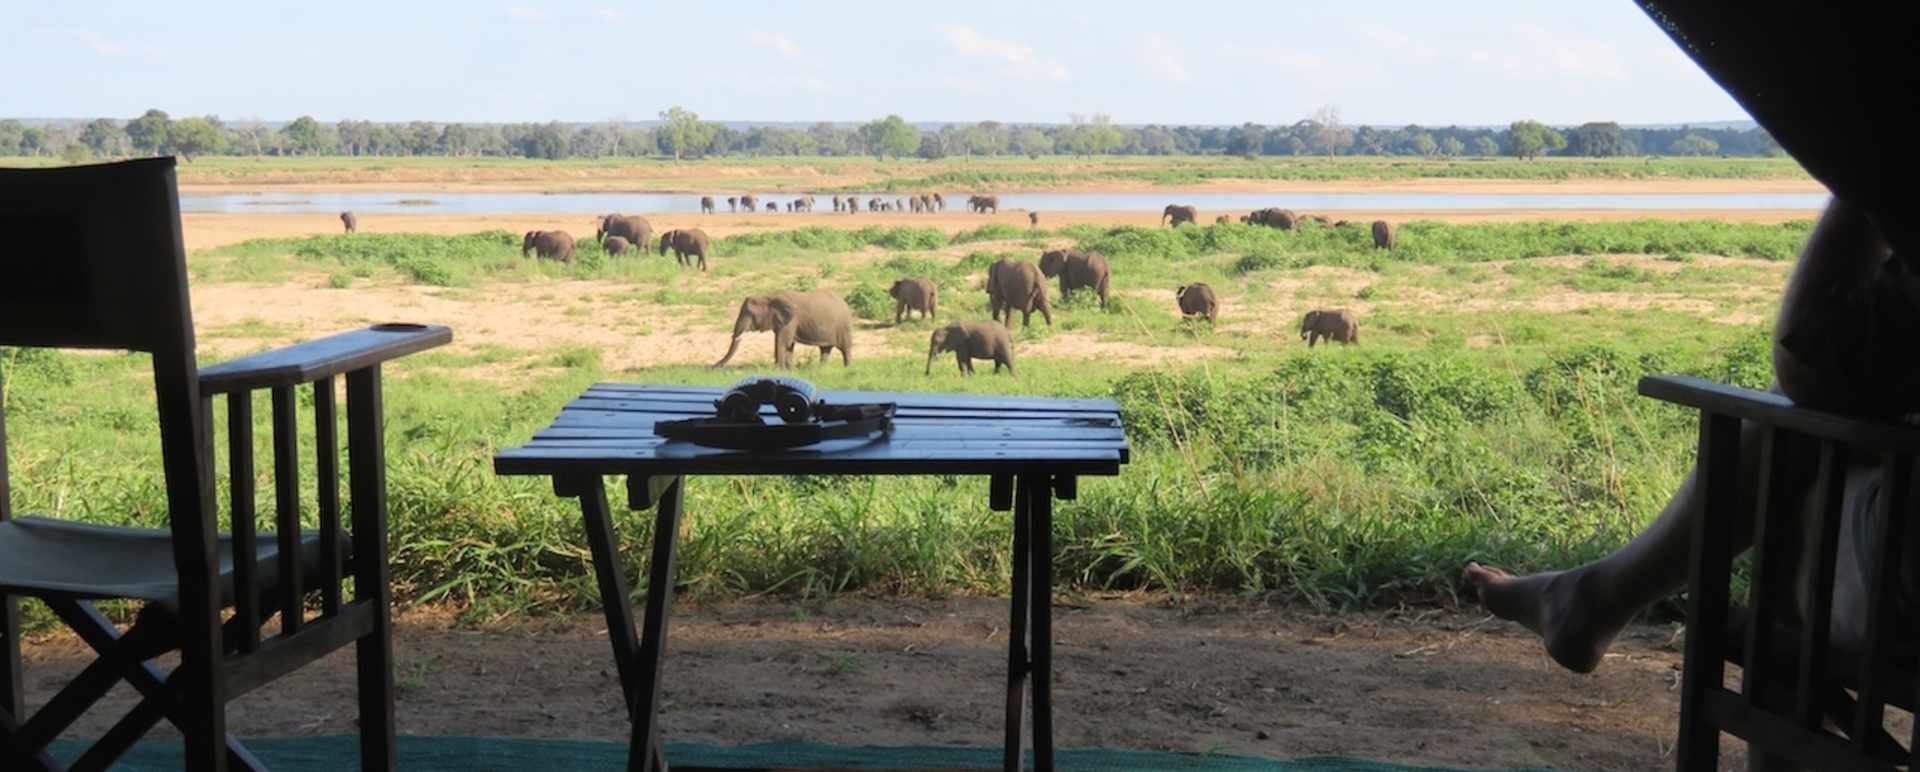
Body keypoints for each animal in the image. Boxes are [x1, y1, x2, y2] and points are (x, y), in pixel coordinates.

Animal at [712, 290, 854, 368]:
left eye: (749, 314)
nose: (712, 367)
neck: (768, 297)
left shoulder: (791, 320)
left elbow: (782, 342)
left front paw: (777, 370)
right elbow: (789, 345)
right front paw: (789, 370)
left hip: (843, 326)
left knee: (845, 348)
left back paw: (848, 368)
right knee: (825, 350)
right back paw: (821, 369)